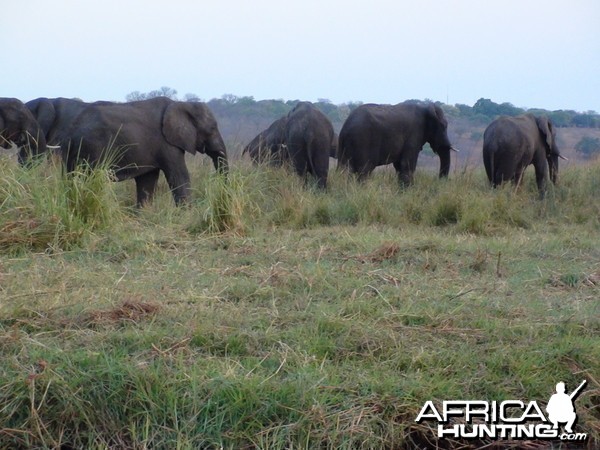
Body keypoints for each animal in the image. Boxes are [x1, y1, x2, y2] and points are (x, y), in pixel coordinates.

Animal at [61, 97, 229, 207]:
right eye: (212, 129)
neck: (181, 104)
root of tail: (72, 129)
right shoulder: (166, 143)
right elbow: (178, 176)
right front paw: (188, 214)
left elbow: (147, 181)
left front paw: (144, 214)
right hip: (92, 148)